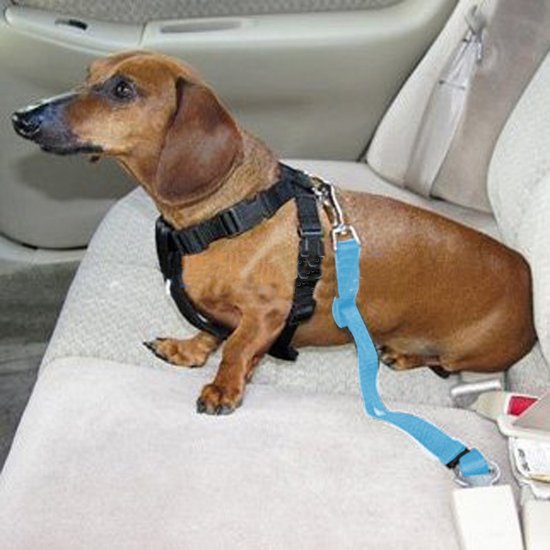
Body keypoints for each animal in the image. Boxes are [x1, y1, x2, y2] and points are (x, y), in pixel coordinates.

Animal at [12, 51, 536, 414]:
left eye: (122, 89)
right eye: (88, 74)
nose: (22, 116)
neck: (230, 211)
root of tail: (525, 274)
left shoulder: (266, 315)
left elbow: (237, 348)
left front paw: (223, 388)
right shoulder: (223, 312)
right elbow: (211, 333)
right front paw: (188, 350)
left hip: (470, 352)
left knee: (444, 363)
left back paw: (404, 356)